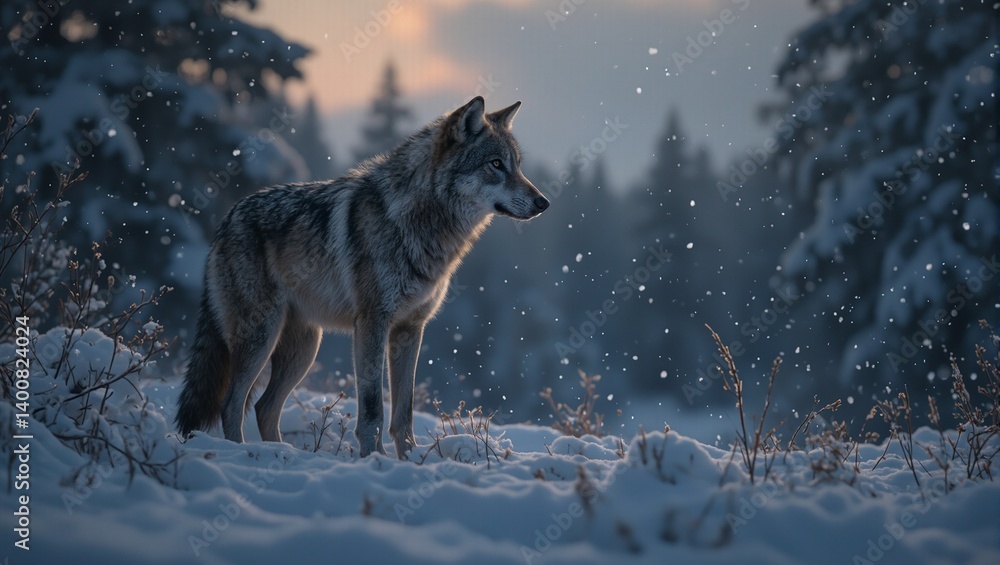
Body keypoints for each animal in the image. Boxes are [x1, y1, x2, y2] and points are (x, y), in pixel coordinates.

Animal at [174, 96, 548, 458]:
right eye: (496, 165)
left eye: (517, 165)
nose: (543, 202)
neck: (420, 223)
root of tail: (226, 221)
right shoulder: (372, 323)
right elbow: (372, 409)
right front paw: (374, 458)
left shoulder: (410, 329)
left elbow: (403, 412)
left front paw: (410, 460)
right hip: (261, 337)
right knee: (231, 404)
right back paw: (240, 453)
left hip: (304, 349)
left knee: (264, 407)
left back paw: (278, 452)